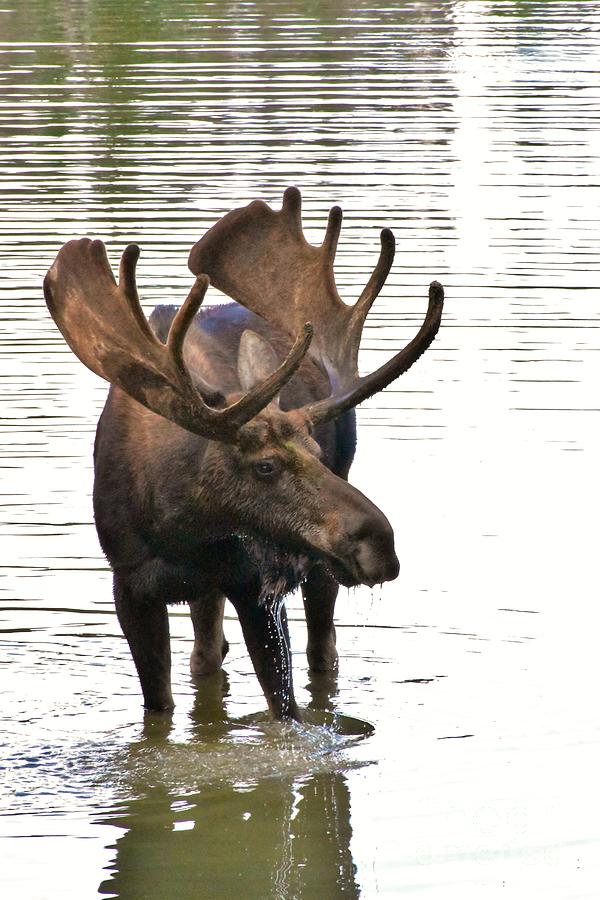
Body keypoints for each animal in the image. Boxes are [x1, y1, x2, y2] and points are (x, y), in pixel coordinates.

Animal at [44, 186, 442, 720]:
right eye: (265, 466)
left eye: (316, 451)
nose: (380, 544)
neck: (180, 527)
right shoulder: (128, 587)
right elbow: (159, 708)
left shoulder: (252, 585)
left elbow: (287, 711)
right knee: (208, 653)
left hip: (319, 570)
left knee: (323, 651)